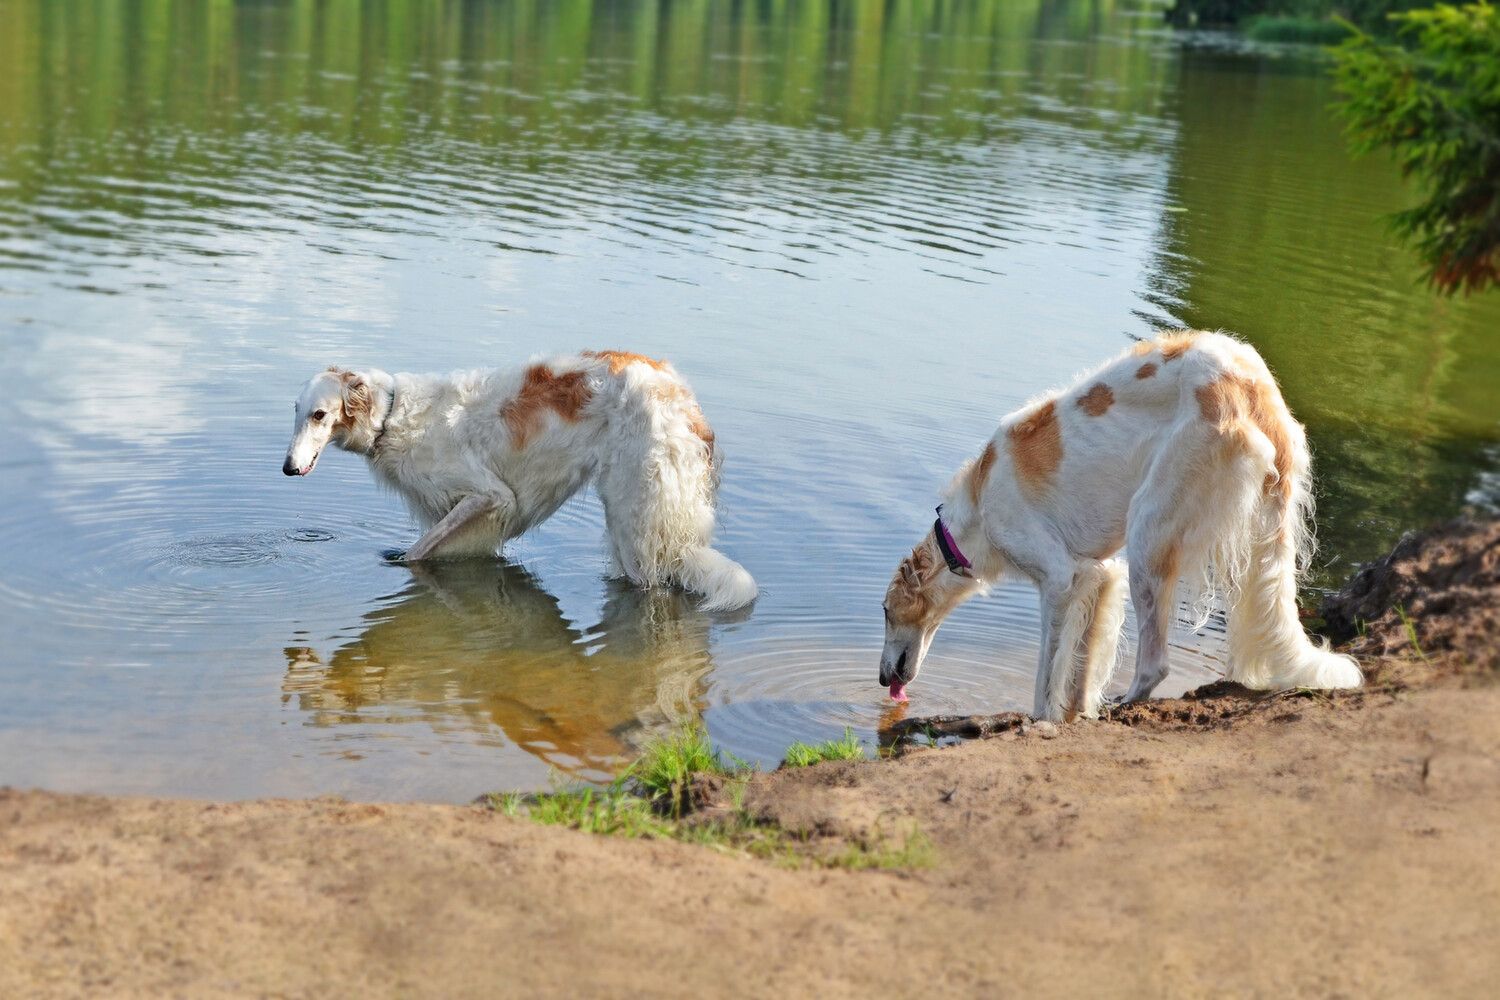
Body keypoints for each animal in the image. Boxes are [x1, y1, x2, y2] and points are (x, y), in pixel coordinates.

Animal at [282, 347, 756, 611]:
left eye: (319, 414)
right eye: (296, 410)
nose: (288, 468)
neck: (392, 415)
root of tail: (682, 396)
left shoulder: (489, 498)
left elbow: (416, 554)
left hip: (635, 519)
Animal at [876, 334, 1362, 719]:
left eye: (884, 611)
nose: (882, 681)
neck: (975, 513)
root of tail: (1254, 388)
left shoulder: (1057, 577)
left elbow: (1047, 669)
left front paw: (1041, 719)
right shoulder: (1099, 573)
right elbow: (1081, 661)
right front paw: (1075, 713)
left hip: (1149, 535)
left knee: (1156, 664)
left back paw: (1125, 704)